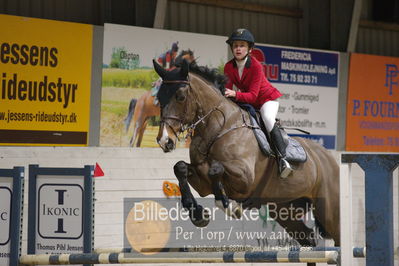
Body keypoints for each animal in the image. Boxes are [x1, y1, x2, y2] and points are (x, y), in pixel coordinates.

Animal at [153, 58, 340, 247]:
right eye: (158, 98)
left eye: (180, 97)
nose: (164, 140)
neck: (218, 128)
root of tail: (328, 157)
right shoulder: (202, 182)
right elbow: (180, 167)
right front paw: (197, 213)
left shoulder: (245, 179)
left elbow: (216, 169)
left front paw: (230, 206)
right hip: (285, 209)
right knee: (308, 236)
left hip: (329, 212)